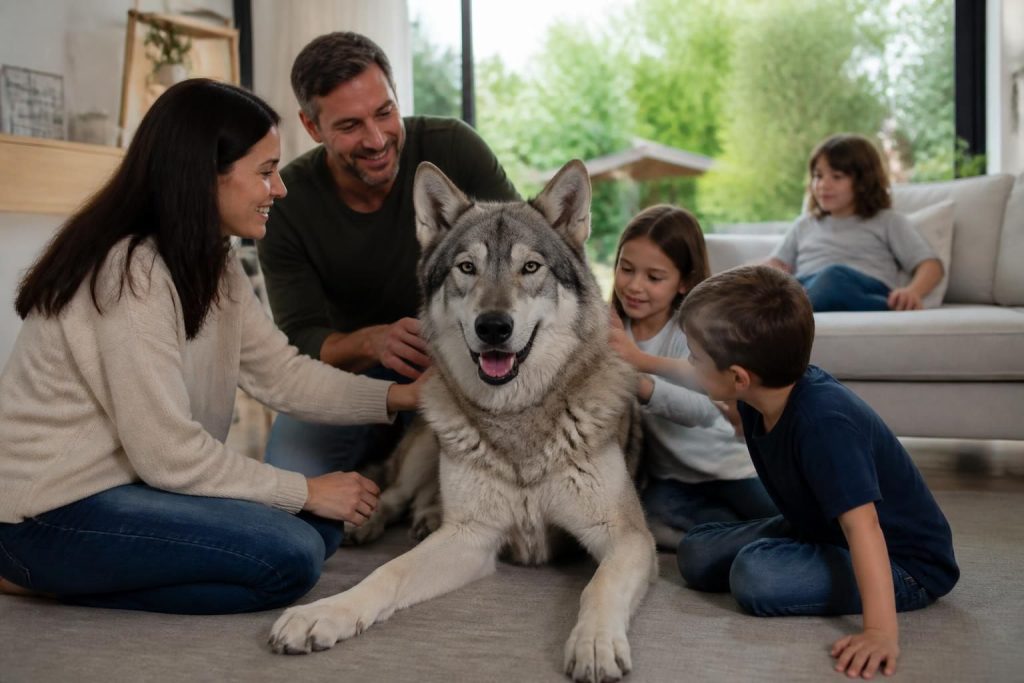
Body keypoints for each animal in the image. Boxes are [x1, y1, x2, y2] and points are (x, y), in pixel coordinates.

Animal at [269, 160, 658, 683]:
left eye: (530, 267)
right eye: (467, 268)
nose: (493, 327)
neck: (516, 419)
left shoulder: (628, 537)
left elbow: (600, 584)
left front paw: (594, 643)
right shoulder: (471, 538)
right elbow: (387, 572)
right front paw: (324, 612)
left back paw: (426, 515)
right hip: (428, 443)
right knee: (395, 493)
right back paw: (371, 519)